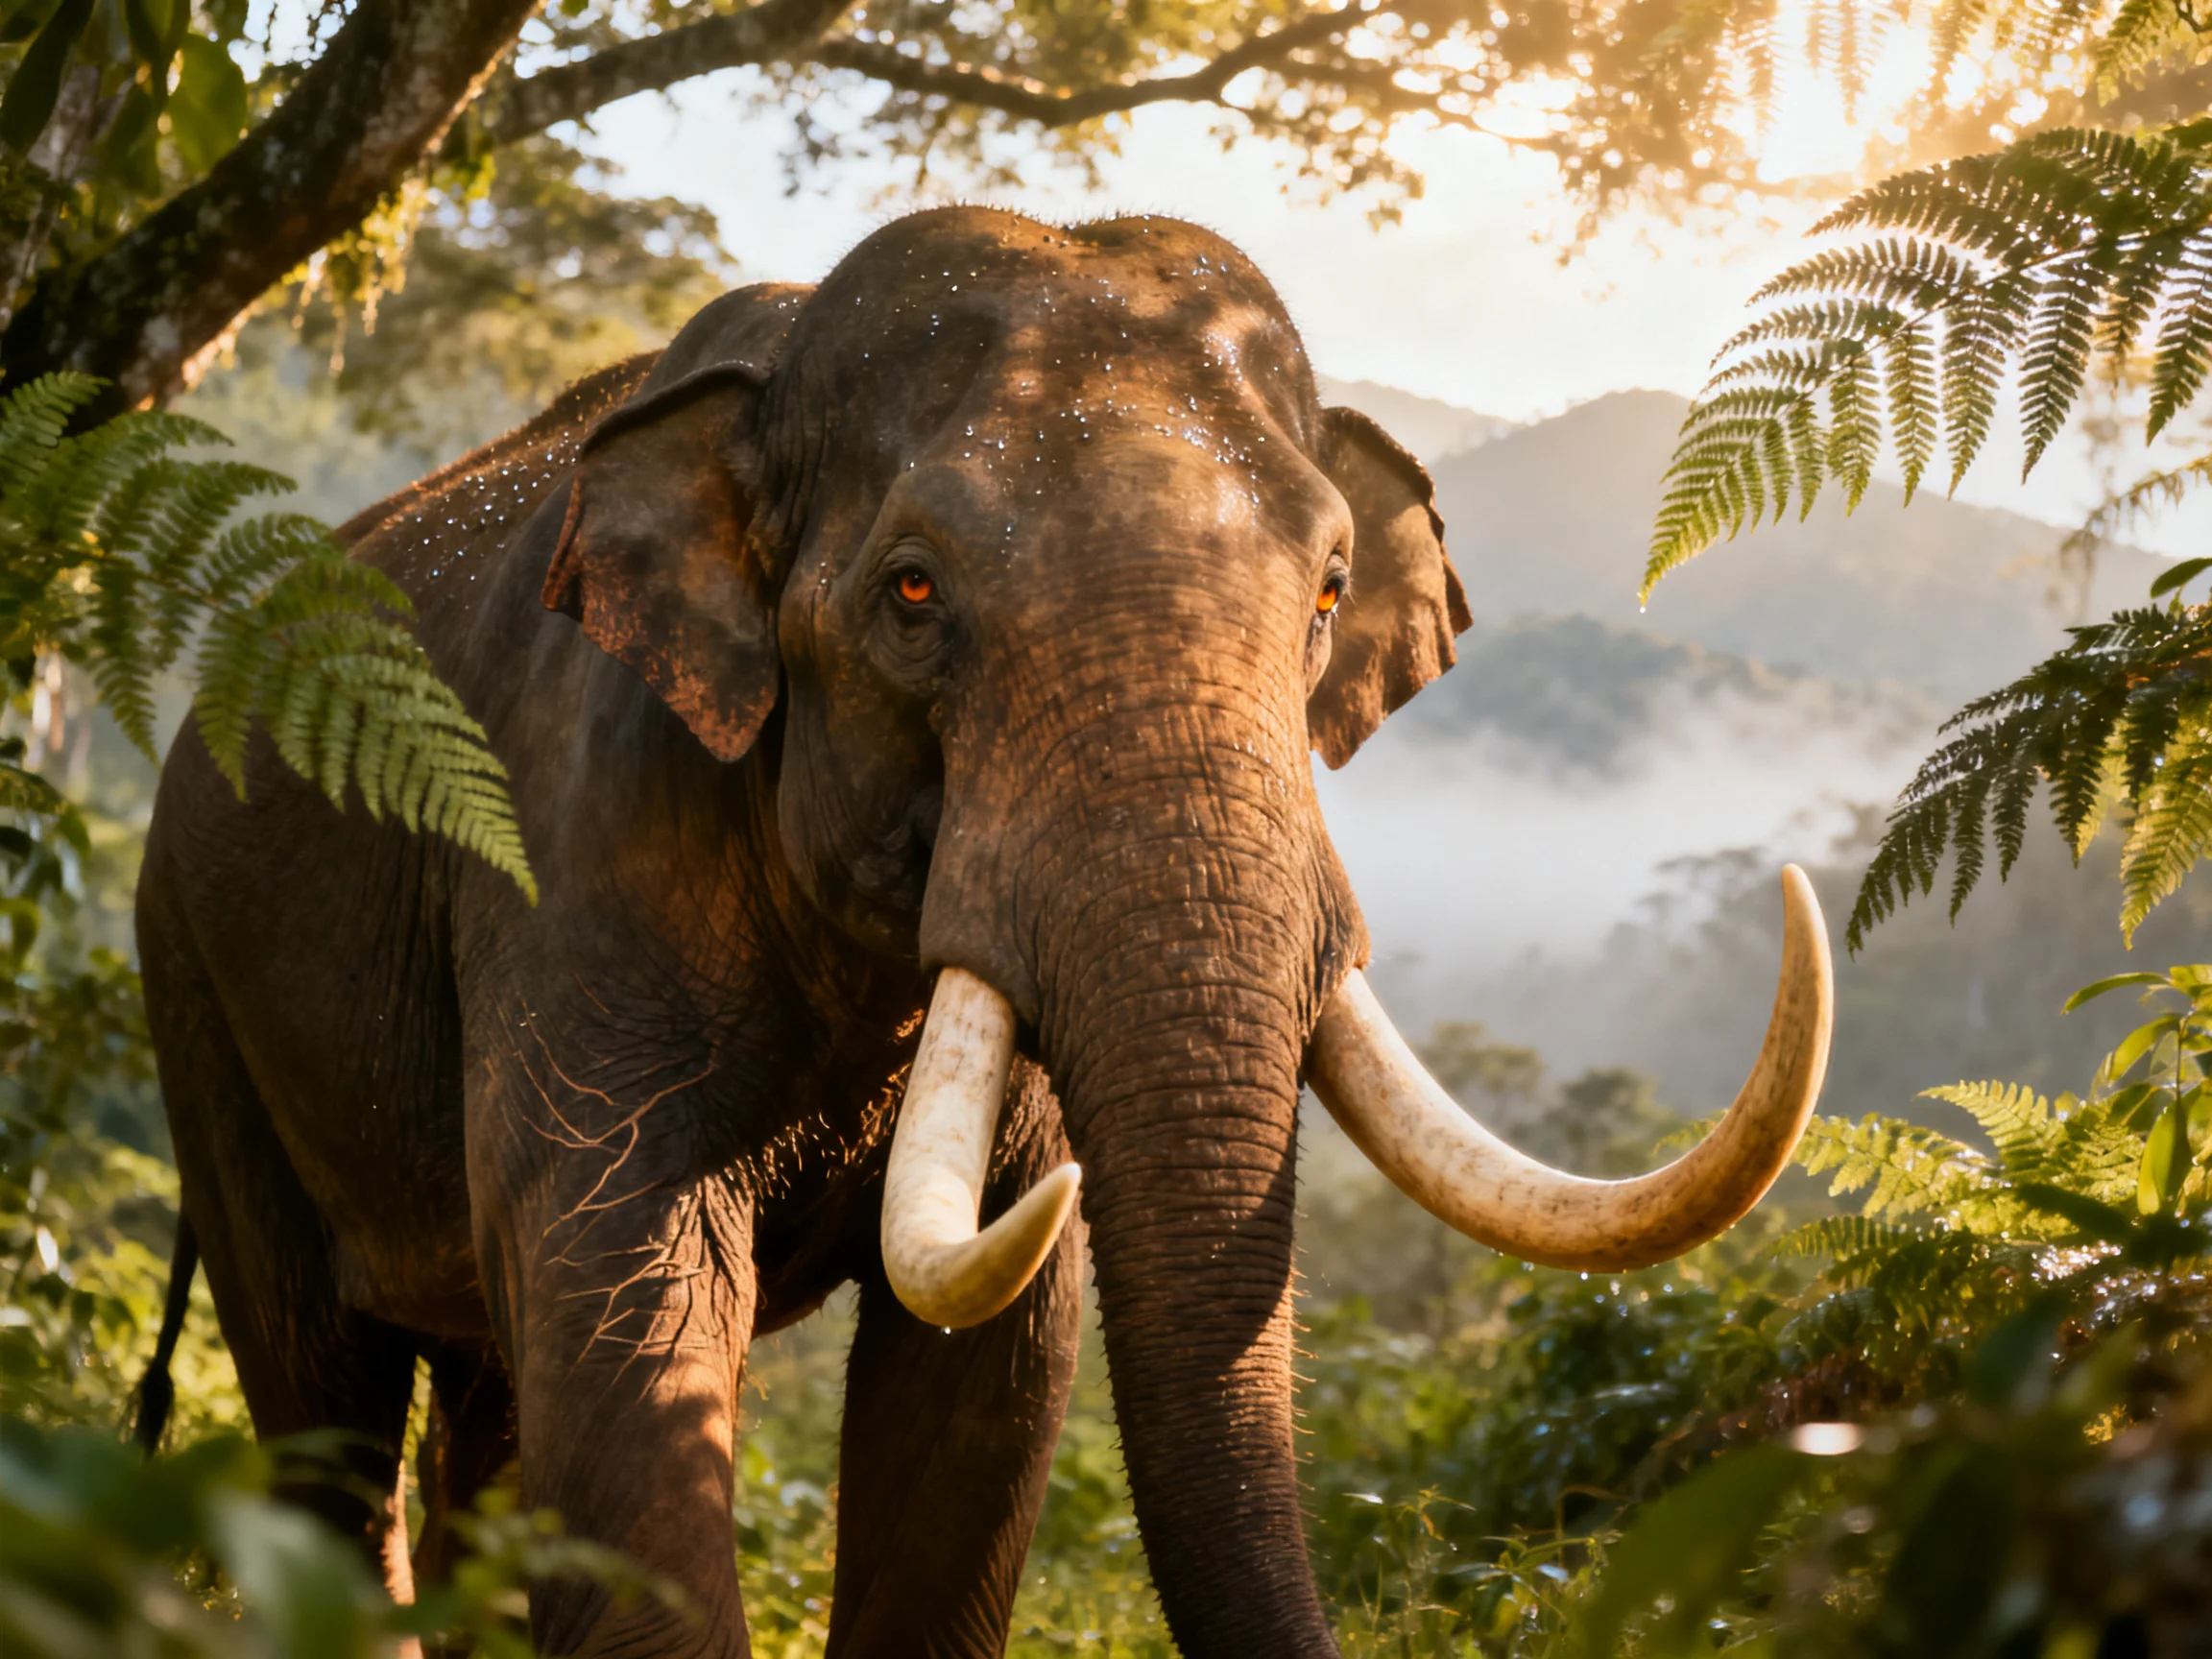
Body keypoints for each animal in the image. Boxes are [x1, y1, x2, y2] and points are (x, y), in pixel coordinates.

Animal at [134, 206, 1832, 1657]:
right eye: (911, 591)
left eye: (1330, 593)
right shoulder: (576, 843)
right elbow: (624, 1298)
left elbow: (994, 1364)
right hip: (195, 989)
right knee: (324, 1405)